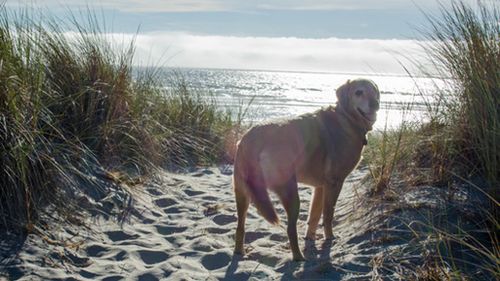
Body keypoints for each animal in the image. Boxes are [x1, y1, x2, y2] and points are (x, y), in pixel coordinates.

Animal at [232, 77, 380, 260]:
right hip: (290, 192)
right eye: (358, 92)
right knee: (290, 229)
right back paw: (298, 257)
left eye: (375, 91)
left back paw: (239, 251)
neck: (346, 118)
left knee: (240, 226)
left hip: (242, 192)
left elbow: (314, 216)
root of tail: (251, 139)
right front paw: (329, 238)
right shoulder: (334, 183)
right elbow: (328, 214)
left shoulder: (320, 187)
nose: (376, 104)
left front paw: (310, 238)